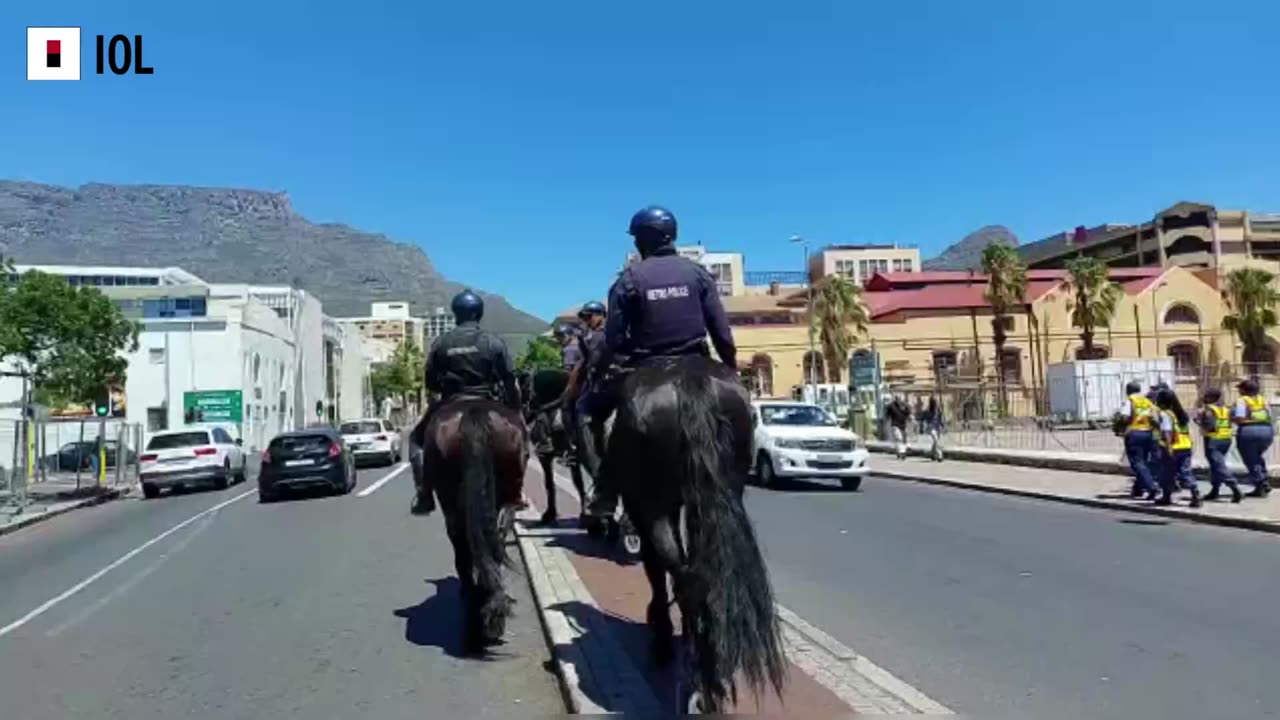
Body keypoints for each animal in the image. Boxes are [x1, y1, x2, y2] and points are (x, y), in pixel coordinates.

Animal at [604, 353, 783, 712]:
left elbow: (655, 569)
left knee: (679, 575)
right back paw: (710, 669)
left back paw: (691, 670)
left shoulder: (642, 507)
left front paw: (660, 633)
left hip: (654, 504)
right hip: (721, 491)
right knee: (702, 575)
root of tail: (689, 379)